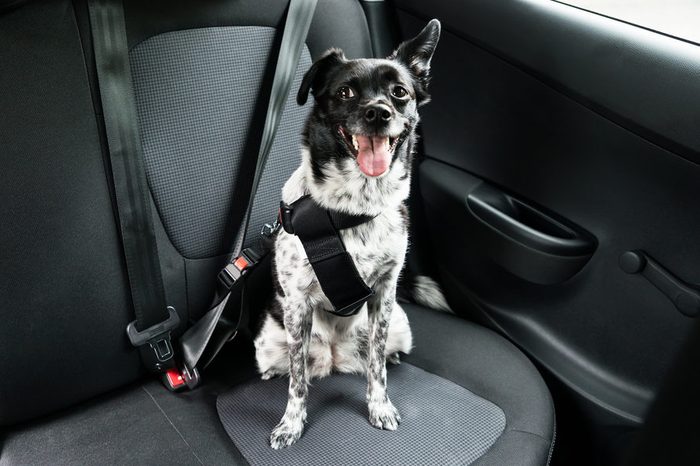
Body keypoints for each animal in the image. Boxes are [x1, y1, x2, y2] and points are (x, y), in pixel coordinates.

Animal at [253, 20, 442, 450]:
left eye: (400, 92)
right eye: (345, 92)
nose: (378, 113)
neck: (353, 208)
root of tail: (335, 358)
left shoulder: (384, 294)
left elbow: (376, 367)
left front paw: (379, 406)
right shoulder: (298, 305)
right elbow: (298, 382)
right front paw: (291, 424)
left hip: (400, 324)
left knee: (378, 354)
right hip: (268, 341)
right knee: (291, 366)